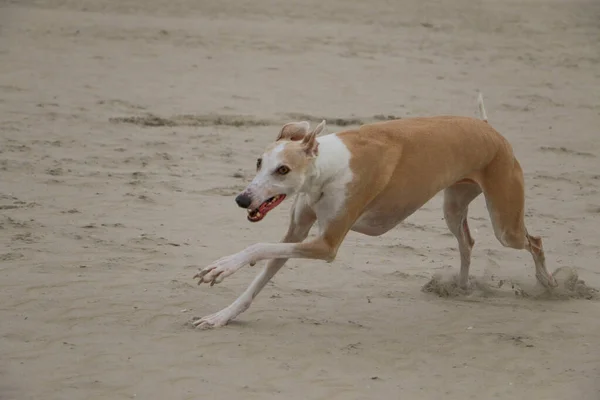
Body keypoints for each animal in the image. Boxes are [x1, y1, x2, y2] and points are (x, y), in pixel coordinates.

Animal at [192, 94, 556, 328]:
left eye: (283, 170)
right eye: (259, 162)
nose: (242, 199)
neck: (328, 166)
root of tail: (488, 127)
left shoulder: (325, 245)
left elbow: (258, 246)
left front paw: (222, 266)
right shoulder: (296, 233)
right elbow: (259, 276)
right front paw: (221, 315)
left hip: (505, 224)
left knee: (534, 241)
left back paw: (548, 284)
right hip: (453, 205)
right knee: (467, 242)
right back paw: (461, 287)